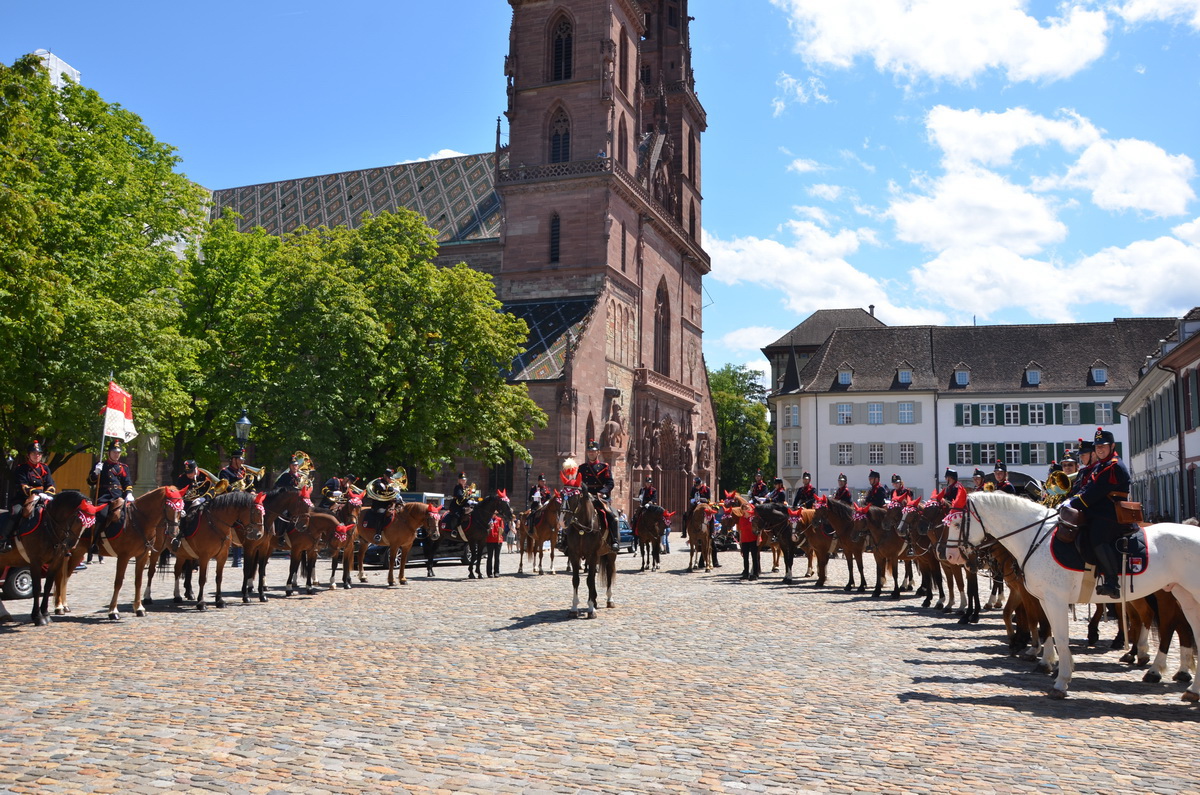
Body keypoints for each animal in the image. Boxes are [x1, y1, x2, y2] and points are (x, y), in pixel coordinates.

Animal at [0, 491, 97, 626]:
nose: (71, 546)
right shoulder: (35, 562)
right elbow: (37, 588)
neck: (47, 527)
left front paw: (45, 614)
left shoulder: (55, 561)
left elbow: (48, 586)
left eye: (89, 525)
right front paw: (38, 617)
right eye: (78, 519)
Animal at [55, 485, 184, 620]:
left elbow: (138, 581)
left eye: (181, 508)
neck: (138, 522)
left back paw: (64, 605)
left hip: (76, 553)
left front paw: (139, 608)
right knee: (61, 576)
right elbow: (118, 582)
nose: (174, 532)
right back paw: (59, 606)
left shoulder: (142, 556)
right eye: (169, 507)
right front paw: (113, 611)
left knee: (65, 575)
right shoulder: (124, 557)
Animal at [560, 487, 617, 618]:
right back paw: (595, 601)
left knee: (609, 573)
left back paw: (609, 600)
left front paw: (591, 609)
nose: (561, 521)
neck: (582, 528)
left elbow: (590, 580)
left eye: (573, 497)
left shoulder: (592, 555)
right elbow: (576, 580)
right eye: (560, 496)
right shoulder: (574, 555)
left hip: (611, 555)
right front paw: (574, 608)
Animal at [946, 491, 1200, 700]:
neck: (1034, 536)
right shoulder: (1042, 598)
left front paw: (1060, 680)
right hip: (1180, 593)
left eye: (957, 523)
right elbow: (1047, 629)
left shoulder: (1054, 598)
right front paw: (1050, 663)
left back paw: (1157, 669)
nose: (949, 555)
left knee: (1168, 624)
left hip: (1171, 595)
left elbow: (1058, 633)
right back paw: (1185, 682)